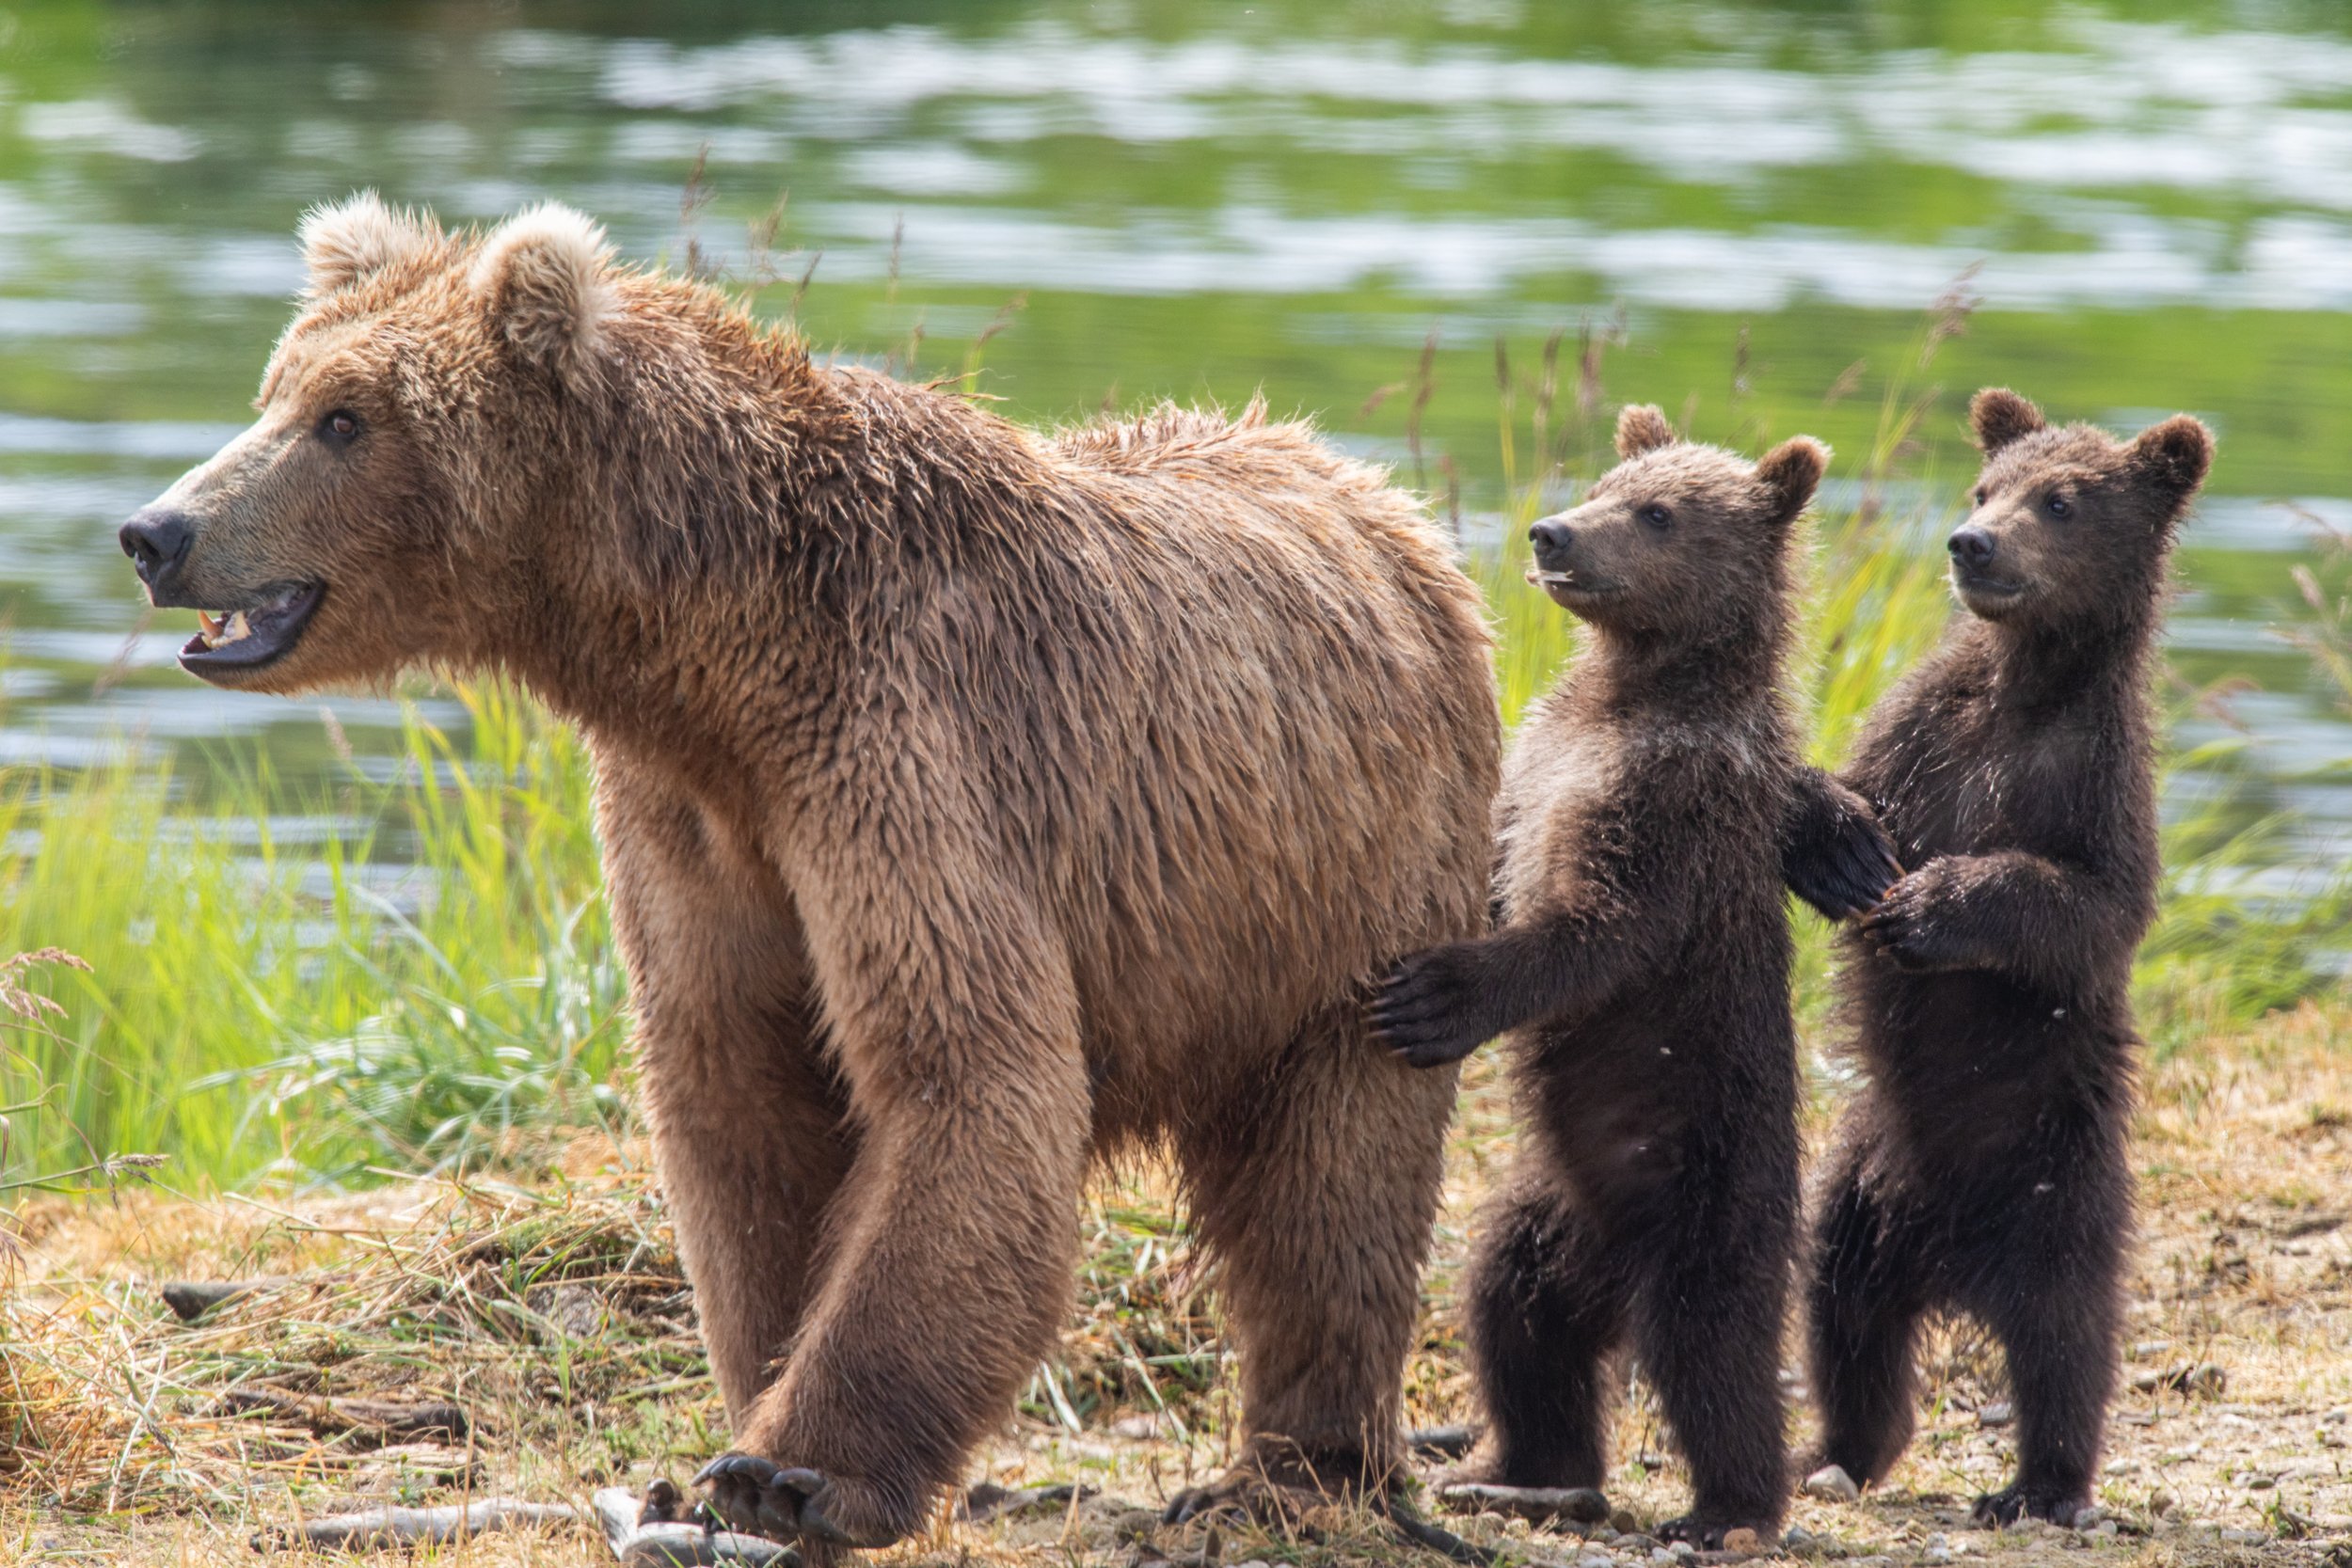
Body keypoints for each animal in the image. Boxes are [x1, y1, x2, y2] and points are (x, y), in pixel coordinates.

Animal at [114, 199, 1486, 1560]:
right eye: (277, 388)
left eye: (345, 416)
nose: (157, 532)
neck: (720, 661)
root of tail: (1383, 501)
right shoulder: (696, 823)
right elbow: (738, 1101)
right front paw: (723, 1443)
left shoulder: (908, 754)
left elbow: (963, 1073)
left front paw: (795, 1473)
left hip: (1355, 896)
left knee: (1332, 1182)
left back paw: (1298, 1469)